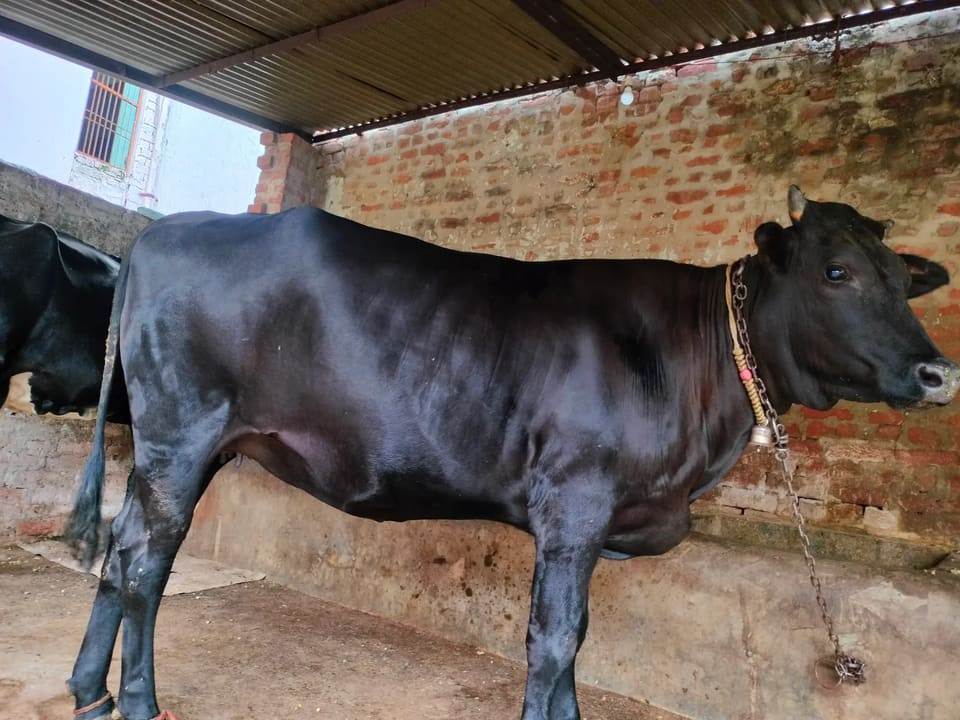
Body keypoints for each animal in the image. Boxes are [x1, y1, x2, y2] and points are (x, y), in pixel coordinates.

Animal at [65, 187, 957, 720]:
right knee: (148, 565)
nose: (938, 372)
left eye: (901, 277)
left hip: (180, 447)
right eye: (836, 271)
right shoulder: (574, 502)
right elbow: (554, 641)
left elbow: (576, 640)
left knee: (121, 548)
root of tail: (165, 229)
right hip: (184, 433)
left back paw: (88, 693)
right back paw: (137, 703)